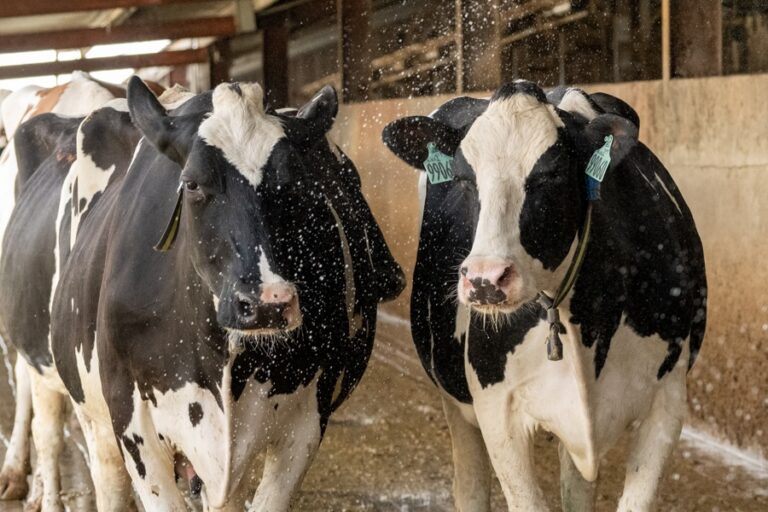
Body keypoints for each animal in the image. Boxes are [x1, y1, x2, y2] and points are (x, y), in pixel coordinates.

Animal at [383, 81, 707, 512]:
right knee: (470, 485)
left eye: (551, 174)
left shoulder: (667, 401)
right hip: (454, 395)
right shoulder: (495, 408)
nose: (485, 279)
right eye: (464, 178)